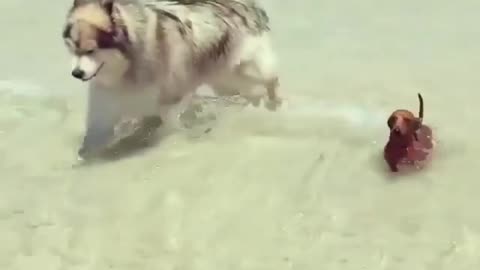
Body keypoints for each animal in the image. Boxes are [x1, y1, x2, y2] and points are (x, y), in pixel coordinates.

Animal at [62, 0, 282, 159]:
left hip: (248, 68)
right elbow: (94, 137)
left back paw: (274, 103)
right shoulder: (106, 105)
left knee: (271, 81)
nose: (76, 73)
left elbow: (165, 124)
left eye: (91, 50)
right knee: (247, 93)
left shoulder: (171, 97)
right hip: (223, 79)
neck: (128, 67)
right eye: (72, 48)